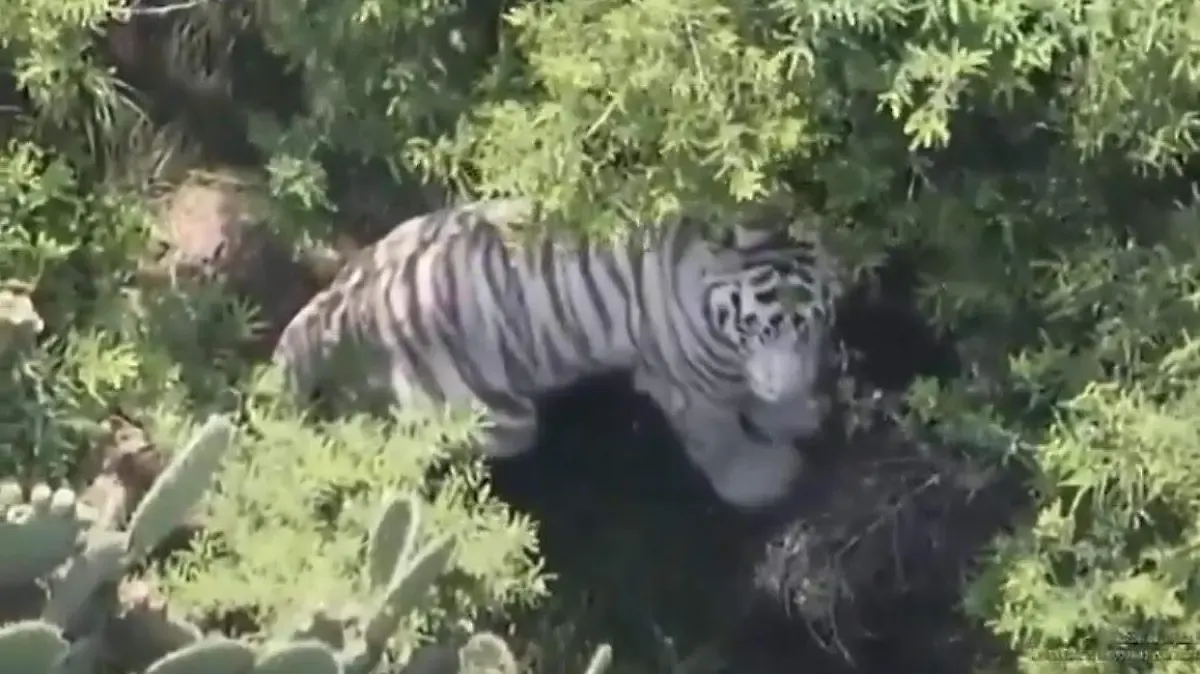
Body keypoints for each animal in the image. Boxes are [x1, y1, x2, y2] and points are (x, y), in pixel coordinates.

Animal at [271, 198, 844, 508]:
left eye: (809, 323)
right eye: (752, 328)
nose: (786, 384)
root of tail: (349, 294)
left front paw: (795, 412)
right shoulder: (688, 382)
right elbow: (719, 439)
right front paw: (763, 479)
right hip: (495, 419)